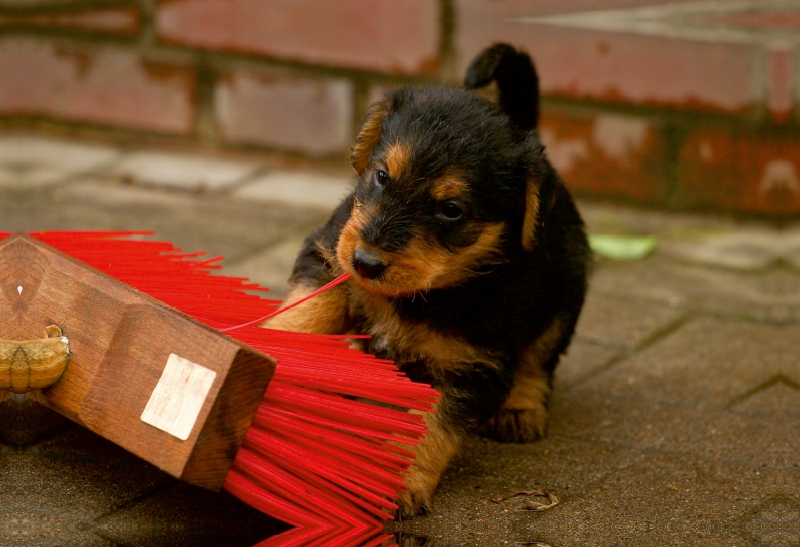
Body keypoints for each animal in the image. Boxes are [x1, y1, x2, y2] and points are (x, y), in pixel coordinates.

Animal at [268, 42, 588, 520]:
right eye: (382, 175)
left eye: (451, 210)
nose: (367, 262)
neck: (424, 294)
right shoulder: (327, 252)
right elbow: (309, 310)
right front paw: (267, 348)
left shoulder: (471, 368)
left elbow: (428, 428)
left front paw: (397, 486)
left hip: (563, 304)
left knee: (538, 361)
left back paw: (520, 410)